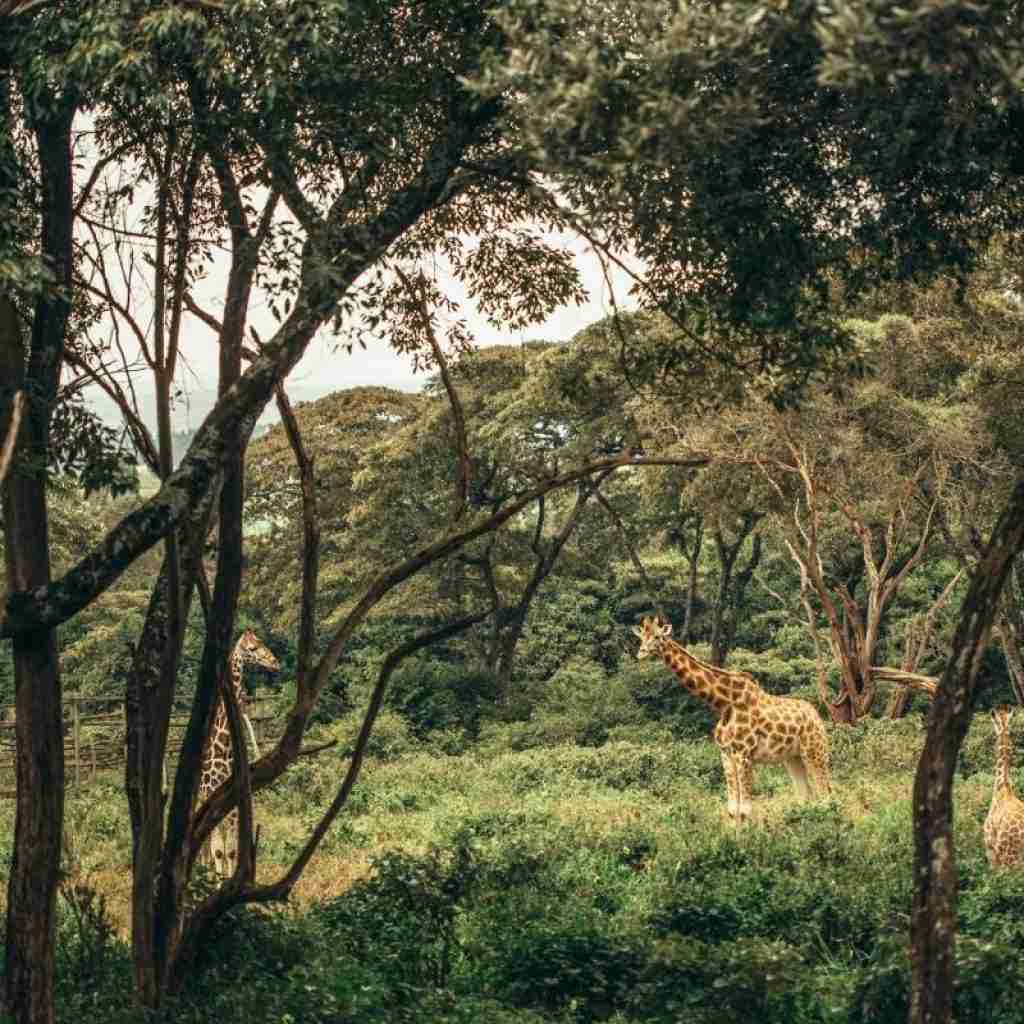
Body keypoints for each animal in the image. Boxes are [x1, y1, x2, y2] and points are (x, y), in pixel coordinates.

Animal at [197, 626, 278, 876]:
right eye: (252, 647)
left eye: (261, 641)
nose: (275, 662)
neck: (223, 746)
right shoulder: (211, 797)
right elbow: (218, 852)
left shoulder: (232, 801)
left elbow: (230, 851)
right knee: (205, 848)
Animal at [630, 614, 831, 823]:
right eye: (641, 637)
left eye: (658, 637)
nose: (641, 653)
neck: (724, 703)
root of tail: (817, 716)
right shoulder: (726, 755)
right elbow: (733, 810)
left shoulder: (743, 755)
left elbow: (745, 811)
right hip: (792, 757)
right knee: (805, 795)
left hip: (814, 751)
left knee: (825, 793)